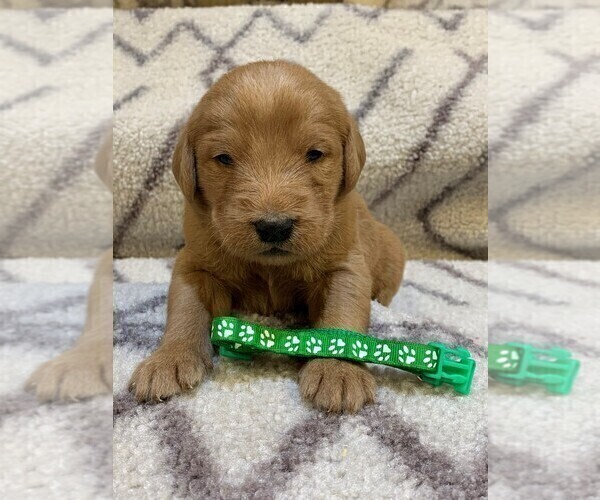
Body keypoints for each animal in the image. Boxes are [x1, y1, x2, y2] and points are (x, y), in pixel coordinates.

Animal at [129, 61, 406, 414]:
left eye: (315, 154)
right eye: (224, 158)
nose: (274, 226)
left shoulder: (345, 265)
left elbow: (342, 315)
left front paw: (337, 369)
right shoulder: (195, 264)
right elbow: (185, 309)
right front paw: (169, 358)